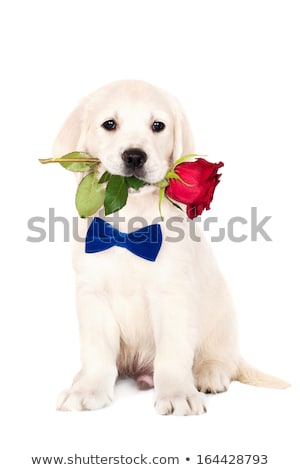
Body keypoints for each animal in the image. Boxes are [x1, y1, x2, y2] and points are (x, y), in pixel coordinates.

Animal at [52, 81, 288, 414]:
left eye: (158, 126)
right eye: (109, 124)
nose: (134, 157)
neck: (132, 222)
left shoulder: (172, 294)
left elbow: (173, 353)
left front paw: (177, 393)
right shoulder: (92, 293)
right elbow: (97, 352)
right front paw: (88, 388)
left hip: (222, 318)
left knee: (222, 359)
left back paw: (209, 374)